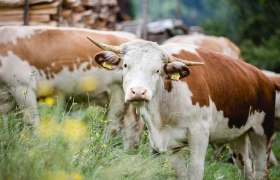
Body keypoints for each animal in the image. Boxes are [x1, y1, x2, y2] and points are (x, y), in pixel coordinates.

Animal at [0, 25, 143, 149]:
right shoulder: (7, 99)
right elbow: (6, 123)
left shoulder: (23, 87)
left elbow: (31, 122)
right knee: (131, 125)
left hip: (118, 93)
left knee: (114, 125)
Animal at [89, 38, 276, 180]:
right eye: (126, 65)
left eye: (157, 70)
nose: (139, 92)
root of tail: (262, 77)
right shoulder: (171, 144)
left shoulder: (199, 135)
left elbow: (195, 172)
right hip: (237, 137)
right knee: (246, 170)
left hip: (262, 133)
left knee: (261, 170)